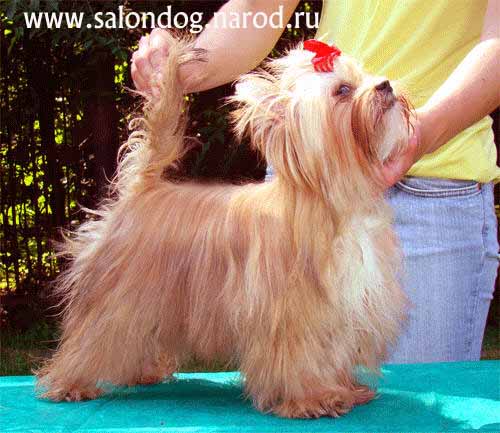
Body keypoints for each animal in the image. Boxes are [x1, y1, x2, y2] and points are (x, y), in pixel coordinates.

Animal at [36, 33, 411, 418]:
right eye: (342, 90)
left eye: (365, 76)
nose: (385, 84)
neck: (334, 202)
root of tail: (142, 189)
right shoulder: (293, 314)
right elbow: (300, 358)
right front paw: (312, 398)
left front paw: (345, 390)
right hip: (117, 296)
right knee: (92, 336)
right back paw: (71, 384)